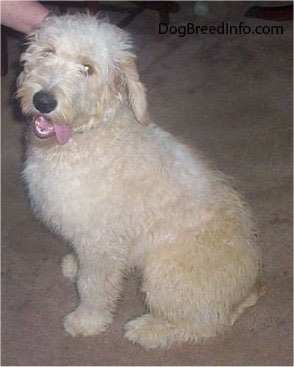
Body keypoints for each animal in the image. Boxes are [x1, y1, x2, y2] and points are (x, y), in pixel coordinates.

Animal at [16, 12, 264, 350]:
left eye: (87, 69)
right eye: (48, 52)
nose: (43, 101)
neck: (85, 137)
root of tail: (244, 292)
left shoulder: (101, 243)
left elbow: (94, 287)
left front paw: (86, 321)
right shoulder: (86, 235)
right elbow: (84, 269)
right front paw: (74, 266)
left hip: (164, 274)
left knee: (203, 326)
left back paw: (147, 330)